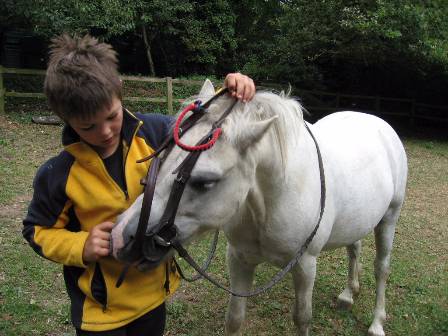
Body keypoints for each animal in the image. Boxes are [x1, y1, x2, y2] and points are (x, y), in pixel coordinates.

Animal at [110, 80, 408, 334]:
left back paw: (377, 322)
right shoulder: (239, 259)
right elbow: (234, 318)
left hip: (389, 217)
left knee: (381, 268)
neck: (271, 202)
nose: (121, 236)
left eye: (205, 181)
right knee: (354, 247)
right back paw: (349, 294)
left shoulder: (305, 265)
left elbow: (302, 318)